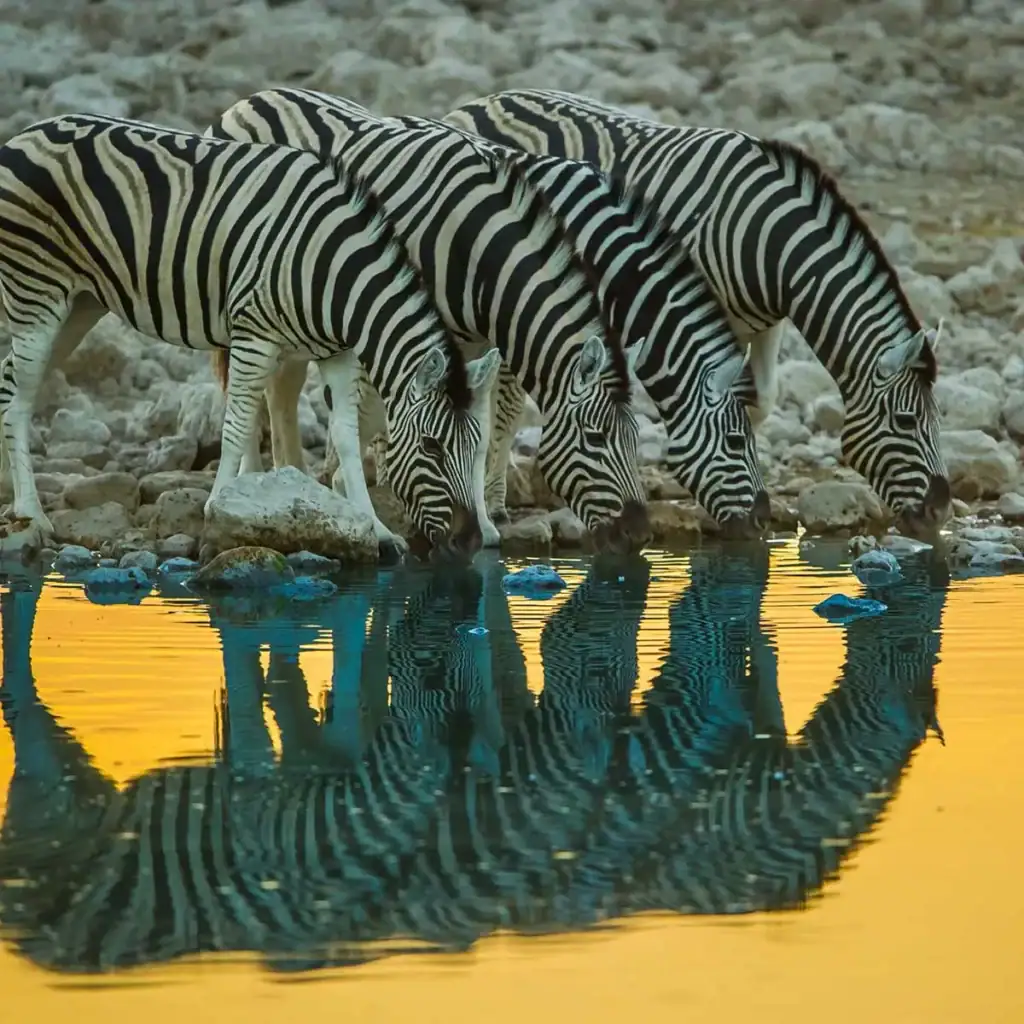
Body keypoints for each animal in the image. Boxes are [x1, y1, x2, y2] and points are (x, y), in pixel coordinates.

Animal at [0, 113, 492, 558]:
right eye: (431, 446)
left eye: (477, 448)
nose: (470, 542)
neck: (334, 273)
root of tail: (25, 134)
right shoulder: (254, 335)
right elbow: (236, 427)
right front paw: (217, 507)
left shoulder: (338, 353)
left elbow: (347, 437)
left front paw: (379, 531)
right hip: (35, 291)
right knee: (19, 395)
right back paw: (33, 514)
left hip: (80, 303)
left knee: (11, 378)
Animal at [205, 87, 770, 541]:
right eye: (736, 441)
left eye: (637, 440)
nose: (763, 522)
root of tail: (247, 100)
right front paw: (363, 486)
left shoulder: (494, 332)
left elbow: (487, 419)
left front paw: (484, 511)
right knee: (248, 386)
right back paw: (252, 484)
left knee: (280, 387)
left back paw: (289, 477)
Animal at [444, 89, 952, 538]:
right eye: (907, 422)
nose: (940, 511)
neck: (769, 240)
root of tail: (479, 102)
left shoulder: (767, 323)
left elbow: (759, 401)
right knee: (506, 399)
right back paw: (495, 500)